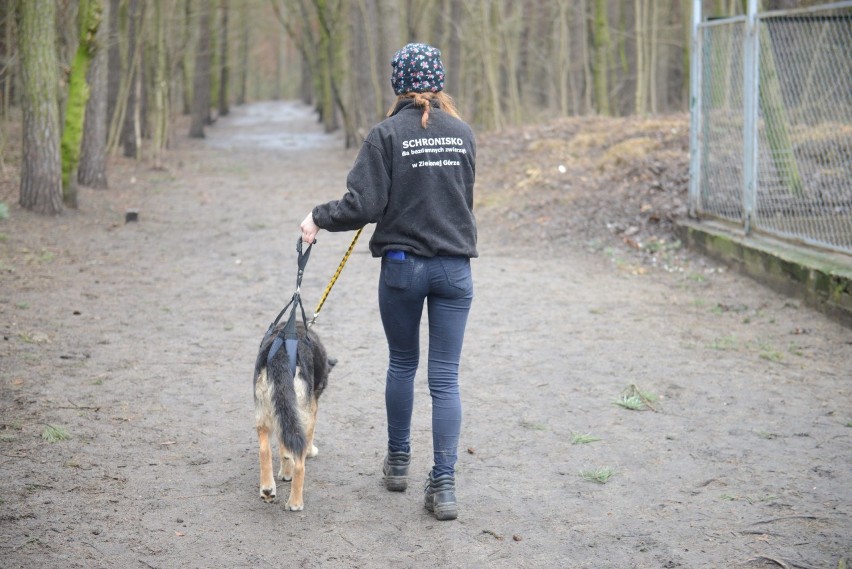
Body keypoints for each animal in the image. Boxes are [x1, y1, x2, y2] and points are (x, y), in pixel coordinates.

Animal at [253, 320, 332, 510]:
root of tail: (281, 355)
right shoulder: (312, 407)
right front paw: (310, 452)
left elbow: (285, 450)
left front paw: (285, 472)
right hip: (302, 415)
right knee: (300, 463)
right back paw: (295, 502)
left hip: (265, 414)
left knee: (265, 450)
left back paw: (267, 489)